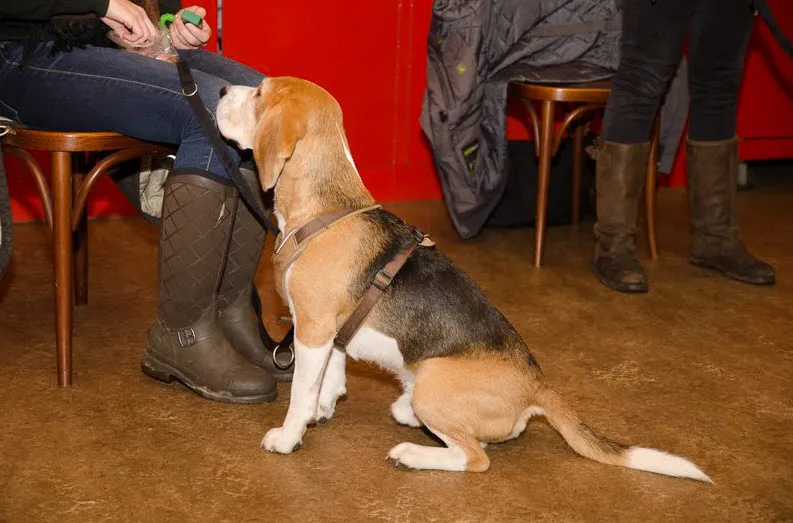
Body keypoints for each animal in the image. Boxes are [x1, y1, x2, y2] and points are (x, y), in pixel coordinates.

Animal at [216, 77, 711, 481]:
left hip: (434, 384)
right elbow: (328, 378)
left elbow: (301, 392)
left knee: (476, 458)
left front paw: (288, 435)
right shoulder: (331, 332)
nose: (219, 90)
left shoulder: (314, 330)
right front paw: (322, 408)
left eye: (259, 93)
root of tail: (538, 386)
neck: (329, 209)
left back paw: (413, 454)